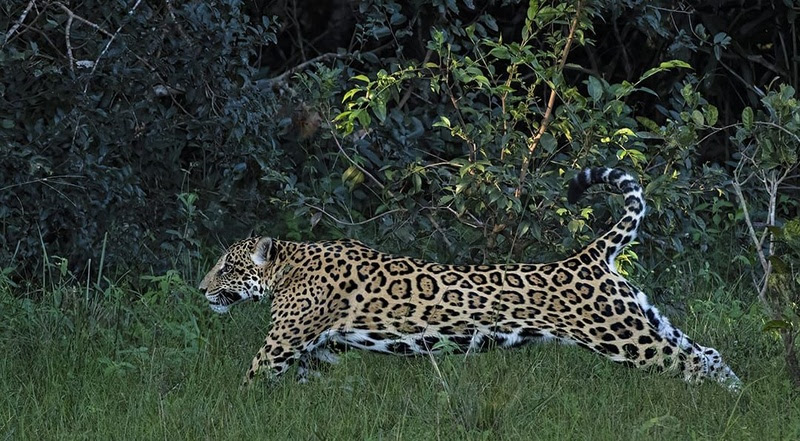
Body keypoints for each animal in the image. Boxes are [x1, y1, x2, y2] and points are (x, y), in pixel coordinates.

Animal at [199, 167, 741, 392]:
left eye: (226, 265)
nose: (201, 290)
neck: (289, 264)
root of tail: (587, 256)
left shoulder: (280, 346)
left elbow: (248, 383)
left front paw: (236, 408)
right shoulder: (321, 350)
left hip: (623, 337)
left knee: (691, 362)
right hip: (641, 319)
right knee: (708, 353)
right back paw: (739, 396)